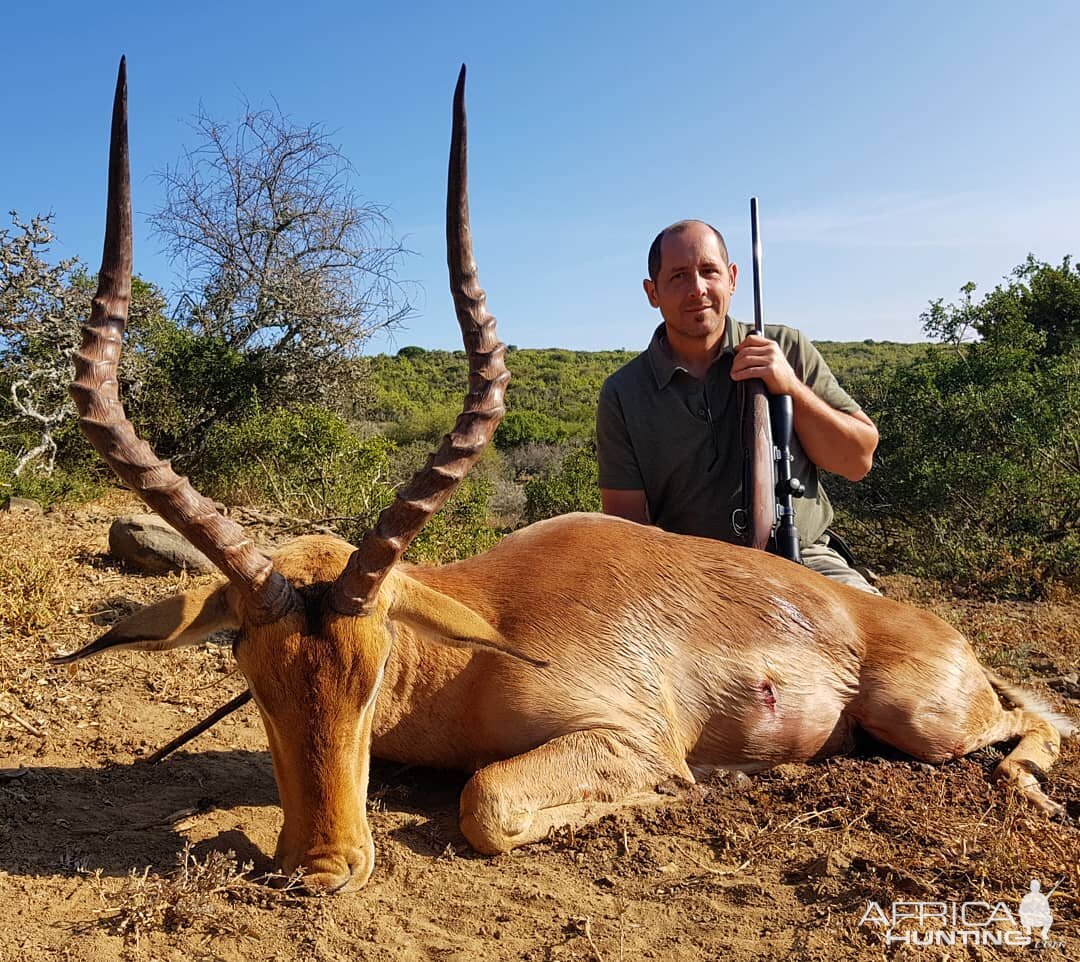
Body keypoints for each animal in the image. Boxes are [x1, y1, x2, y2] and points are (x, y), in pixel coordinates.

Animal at [54, 56, 1075, 889]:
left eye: (376, 669)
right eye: (249, 670)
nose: (322, 868)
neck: (475, 647)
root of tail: (939, 635)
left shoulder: (621, 736)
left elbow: (486, 802)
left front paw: (696, 789)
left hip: (926, 720)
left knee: (1039, 721)